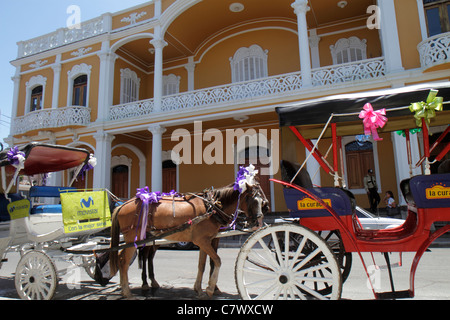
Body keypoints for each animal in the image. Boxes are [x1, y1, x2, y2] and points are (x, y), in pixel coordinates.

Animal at [110, 181, 268, 298]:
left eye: (261, 201)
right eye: (252, 200)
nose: (259, 221)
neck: (212, 207)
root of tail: (122, 205)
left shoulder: (205, 241)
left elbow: (202, 265)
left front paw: (199, 289)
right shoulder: (203, 241)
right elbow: (217, 261)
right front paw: (210, 288)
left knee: (127, 258)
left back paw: (129, 286)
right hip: (134, 238)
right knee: (125, 261)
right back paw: (127, 291)